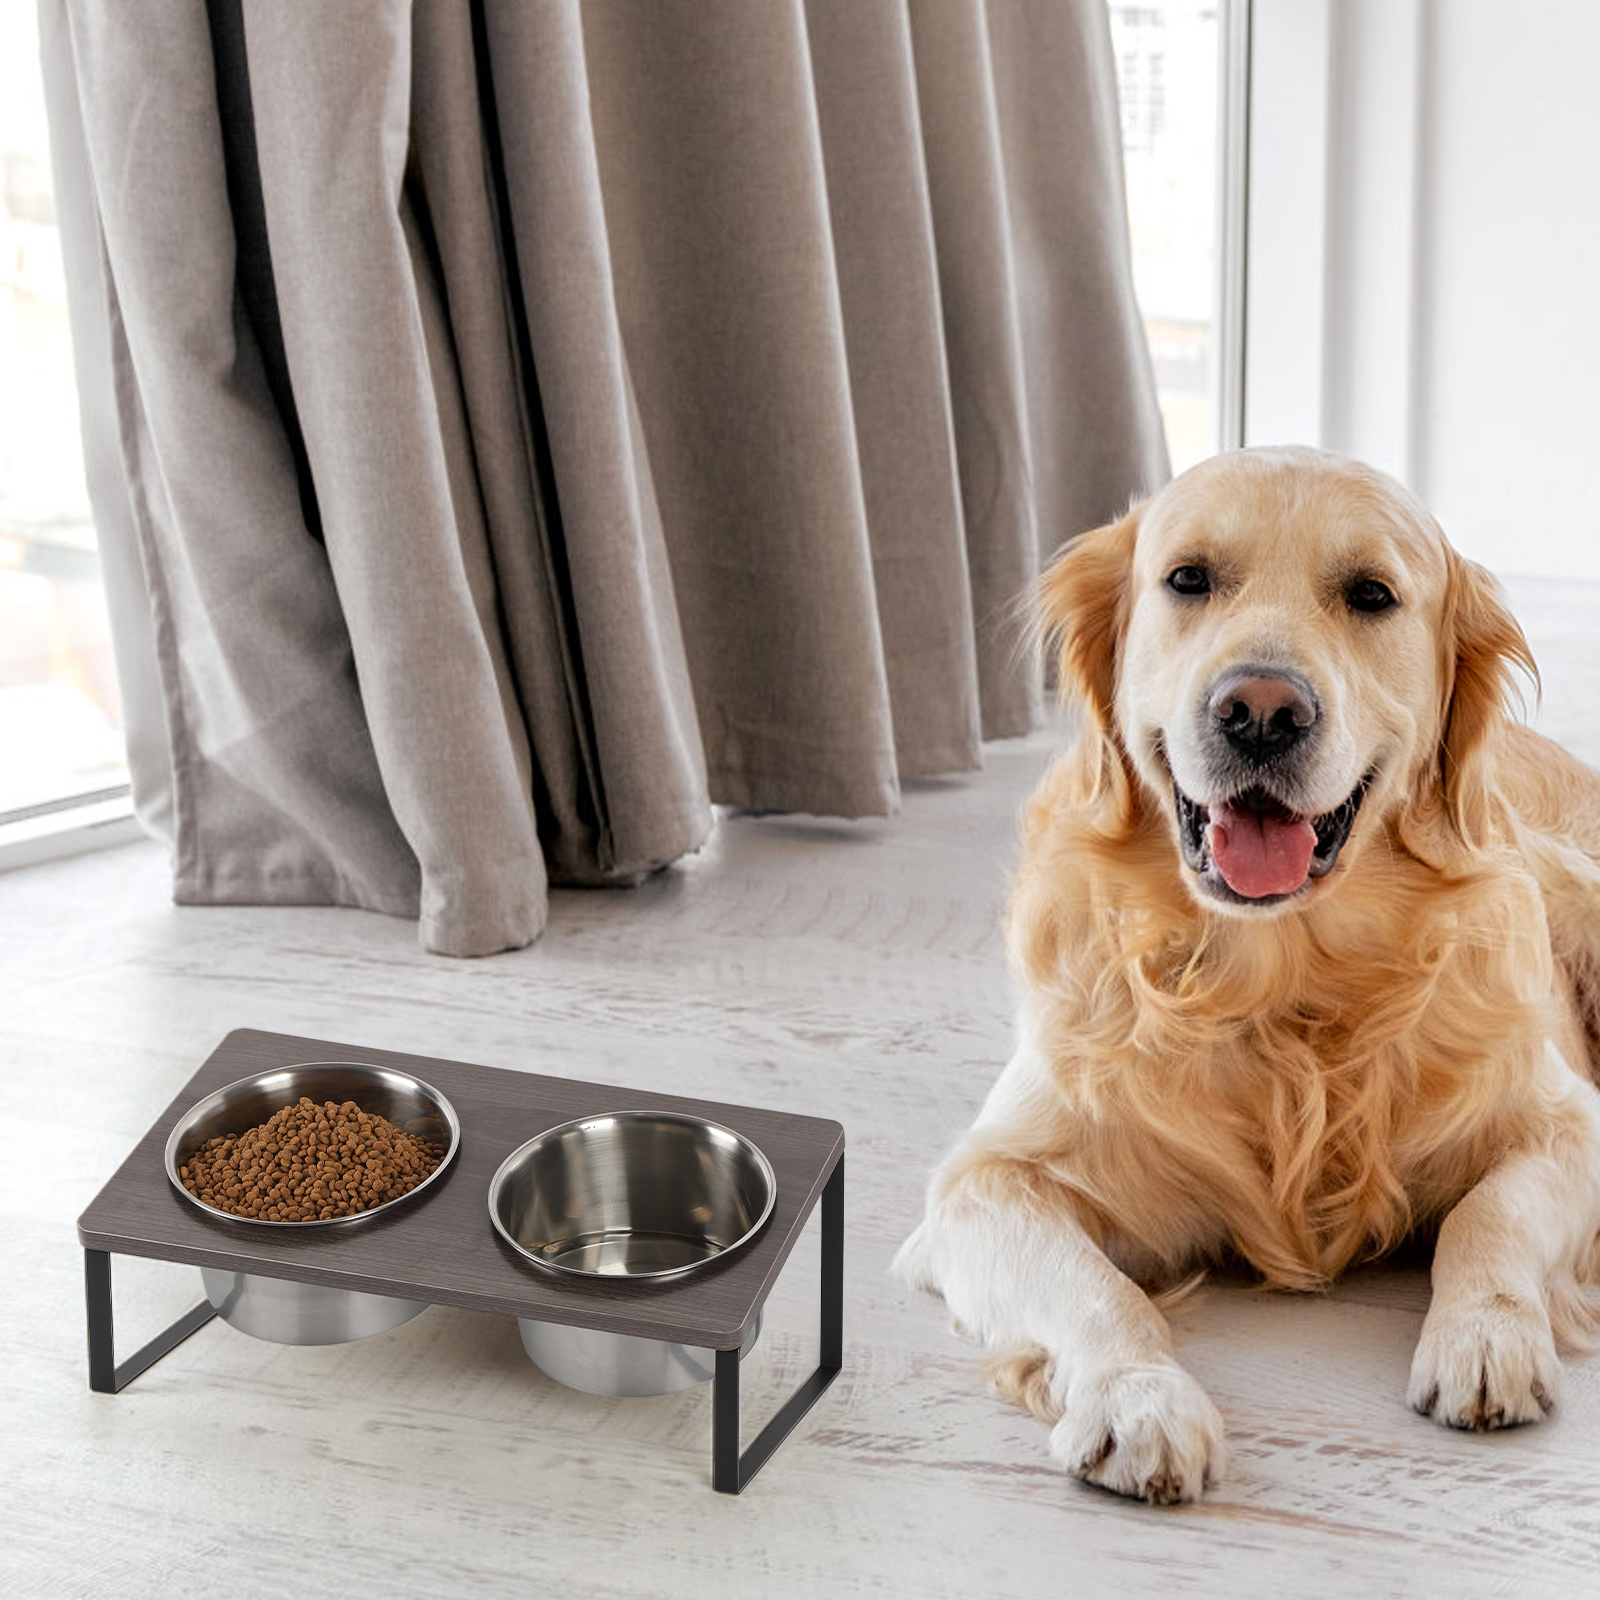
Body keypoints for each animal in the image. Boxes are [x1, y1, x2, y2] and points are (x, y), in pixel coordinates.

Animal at [896, 448, 1600, 1497]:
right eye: (1188, 579)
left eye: (1372, 594)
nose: (1260, 712)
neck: (1281, 983)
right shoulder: (981, 1183)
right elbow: (1095, 1289)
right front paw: (1137, 1400)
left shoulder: (1571, 1120)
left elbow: (1491, 1212)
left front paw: (1484, 1336)